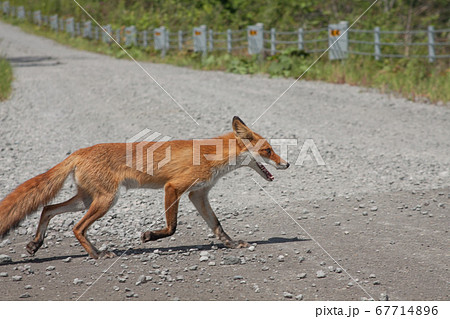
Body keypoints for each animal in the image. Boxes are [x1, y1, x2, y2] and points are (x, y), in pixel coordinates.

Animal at [0, 117, 288, 260]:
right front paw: (149, 237)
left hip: (87, 200)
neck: (213, 156)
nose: (285, 163)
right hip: (106, 200)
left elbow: (217, 225)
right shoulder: (174, 187)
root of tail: (80, 151)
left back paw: (36, 243)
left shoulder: (198, 194)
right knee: (76, 227)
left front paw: (231, 244)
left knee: (47, 208)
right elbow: (172, 227)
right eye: (268, 150)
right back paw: (96, 254)